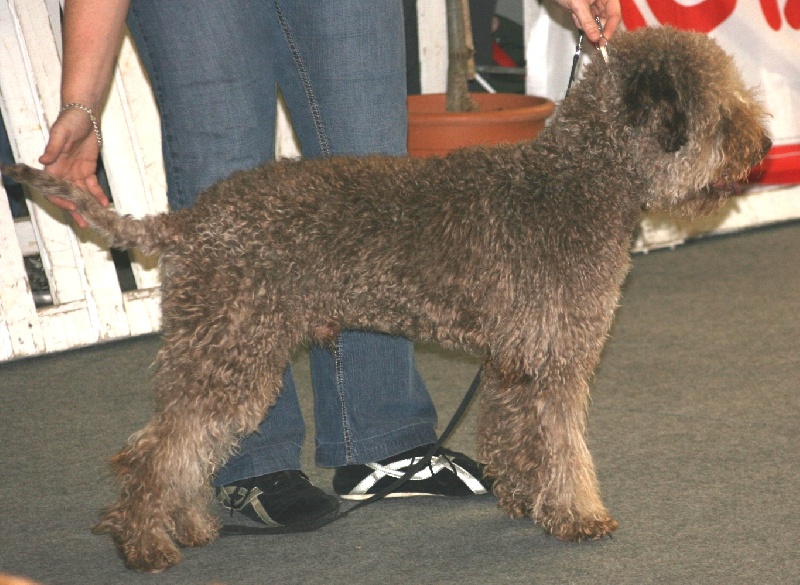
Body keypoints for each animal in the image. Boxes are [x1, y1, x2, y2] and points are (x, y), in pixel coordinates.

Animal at [3, 27, 772, 572]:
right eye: (719, 110)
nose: (765, 144)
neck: (584, 179)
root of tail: (187, 222)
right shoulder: (558, 358)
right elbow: (564, 445)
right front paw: (580, 514)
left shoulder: (516, 361)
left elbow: (518, 435)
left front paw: (526, 501)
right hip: (232, 351)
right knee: (155, 450)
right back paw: (144, 542)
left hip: (228, 353)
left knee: (188, 445)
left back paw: (188, 525)